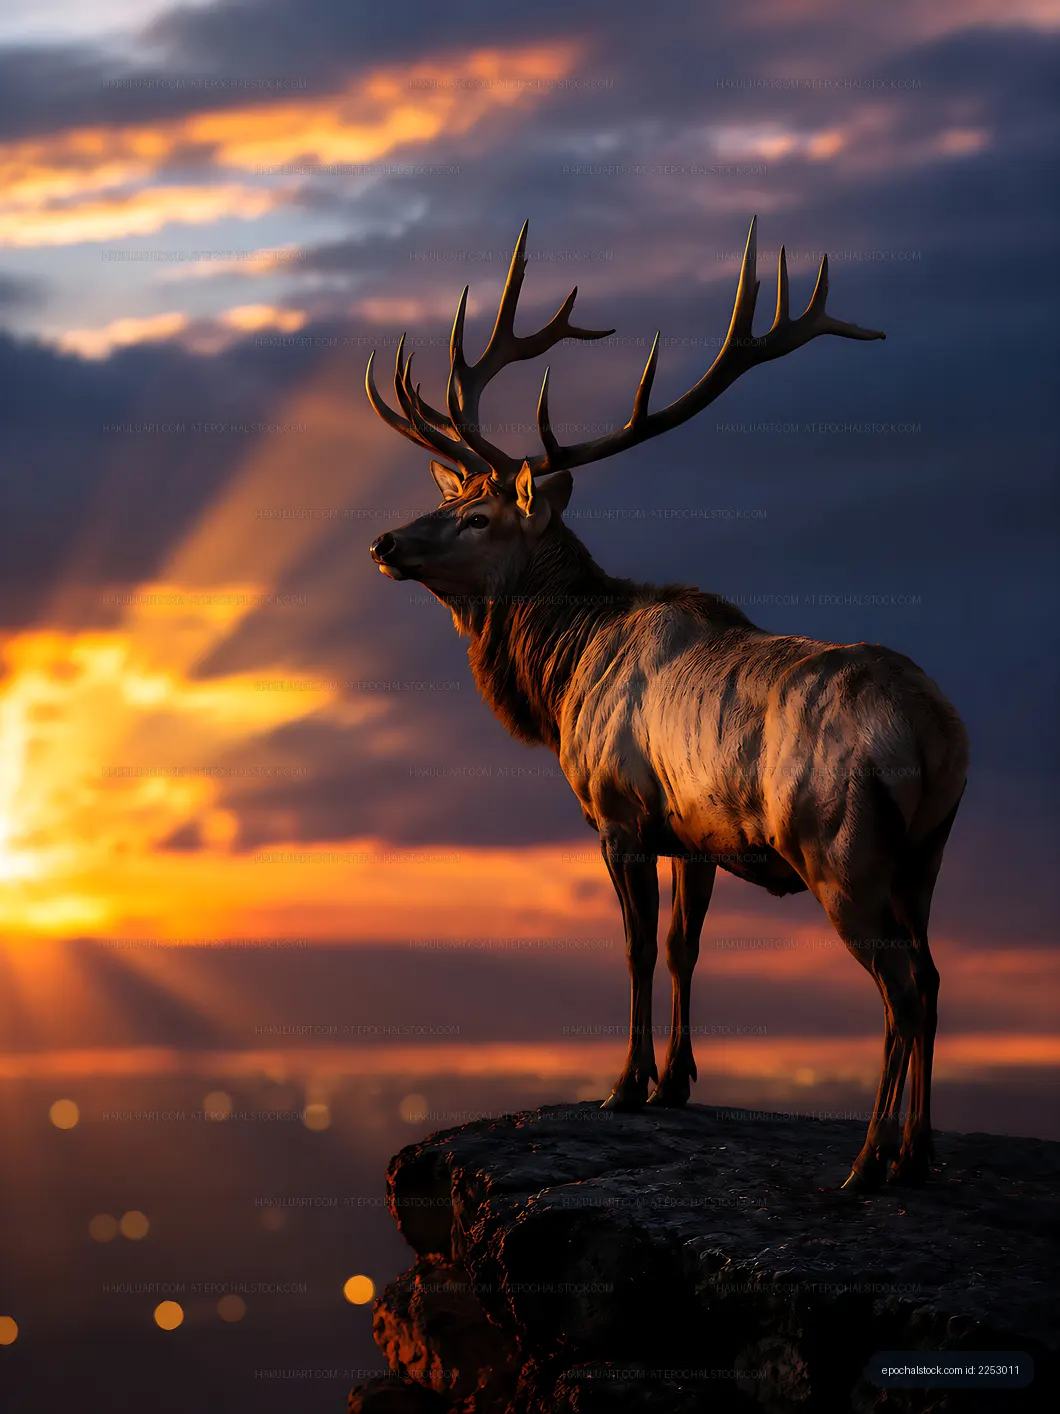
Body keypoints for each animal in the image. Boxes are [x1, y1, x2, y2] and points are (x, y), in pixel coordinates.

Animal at [366, 217, 968, 1190]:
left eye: (477, 518)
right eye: (451, 497)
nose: (384, 542)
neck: (562, 676)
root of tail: (939, 735)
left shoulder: (618, 813)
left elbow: (639, 946)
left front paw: (625, 1085)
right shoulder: (699, 830)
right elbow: (688, 945)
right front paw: (680, 1081)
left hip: (843, 848)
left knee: (904, 988)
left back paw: (867, 1163)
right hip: (928, 850)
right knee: (936, 977)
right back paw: (916, 1154)